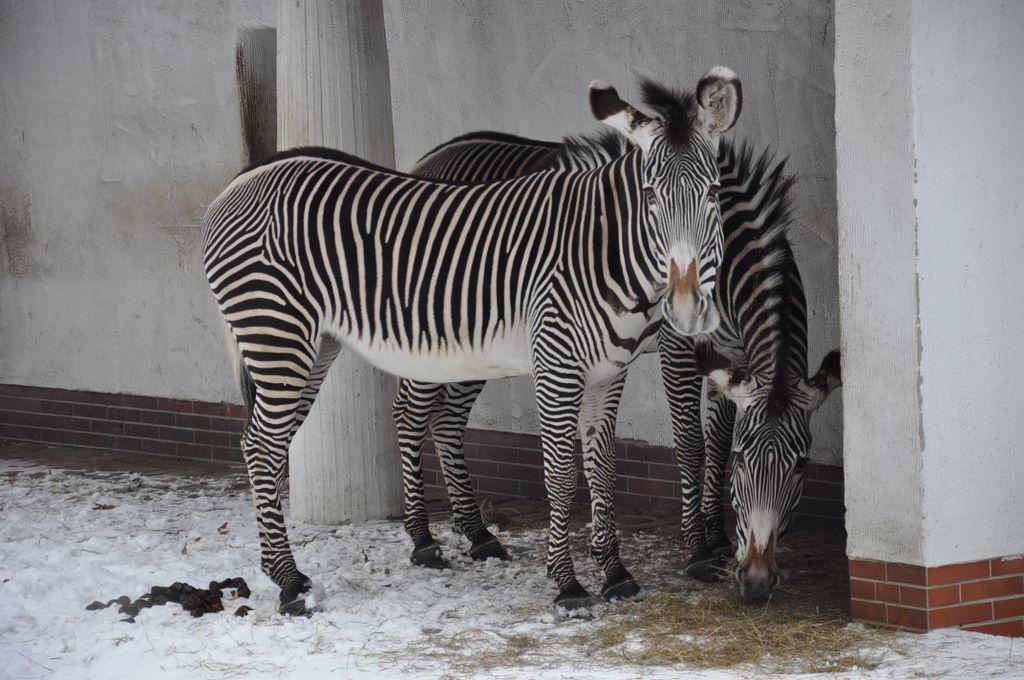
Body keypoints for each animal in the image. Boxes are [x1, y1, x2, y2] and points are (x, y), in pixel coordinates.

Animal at [202, 68, 743, 615]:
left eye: (713, 194)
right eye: (650, 197)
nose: (686, 308)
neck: (600, 251)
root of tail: (240, 182)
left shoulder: (608, 372)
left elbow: (603, 469)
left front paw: (614, 571)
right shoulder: (557, 365)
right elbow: (563, 472)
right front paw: (568, 582)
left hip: (314, 346)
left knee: (271, 445)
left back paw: (283, 568)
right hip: (276, 334)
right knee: (262, 445)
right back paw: (293, 581)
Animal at [393, 133, 841, 604]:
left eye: (801, 465)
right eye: (744, 461)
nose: (755, 581)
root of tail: (431, 157)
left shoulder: (730, 353)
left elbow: (717, 439)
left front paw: (716, 535)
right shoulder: (677, 344)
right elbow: (692, 443)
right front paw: (699, 549)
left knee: (447, 419)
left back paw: (477, 534)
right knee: (410, 416)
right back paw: (423, 540)